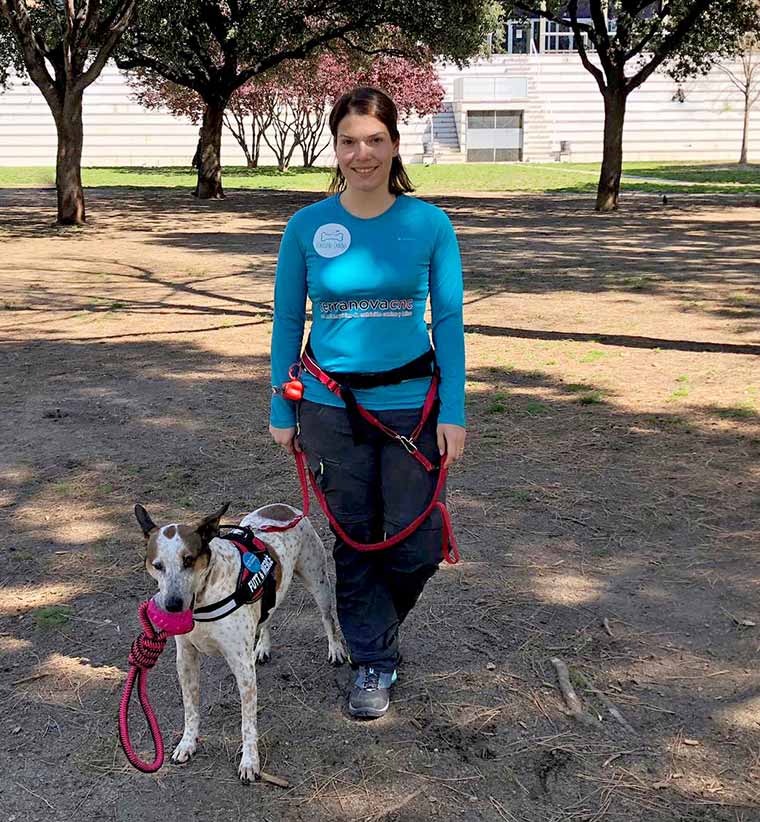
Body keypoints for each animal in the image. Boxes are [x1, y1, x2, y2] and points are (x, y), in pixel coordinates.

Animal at [134, 502, 348, 784]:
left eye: (188, 560)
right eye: (157, 565)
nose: (172, 605)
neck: (204, 597)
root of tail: (282, 507)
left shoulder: (243, 670)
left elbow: (248, 724)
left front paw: (249, 762)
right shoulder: (186, 660)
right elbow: (190, 708)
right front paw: (187, 743)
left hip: (317, 581)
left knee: (327, 617)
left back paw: (335, 648)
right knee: (267, 617)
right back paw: (263, 647)